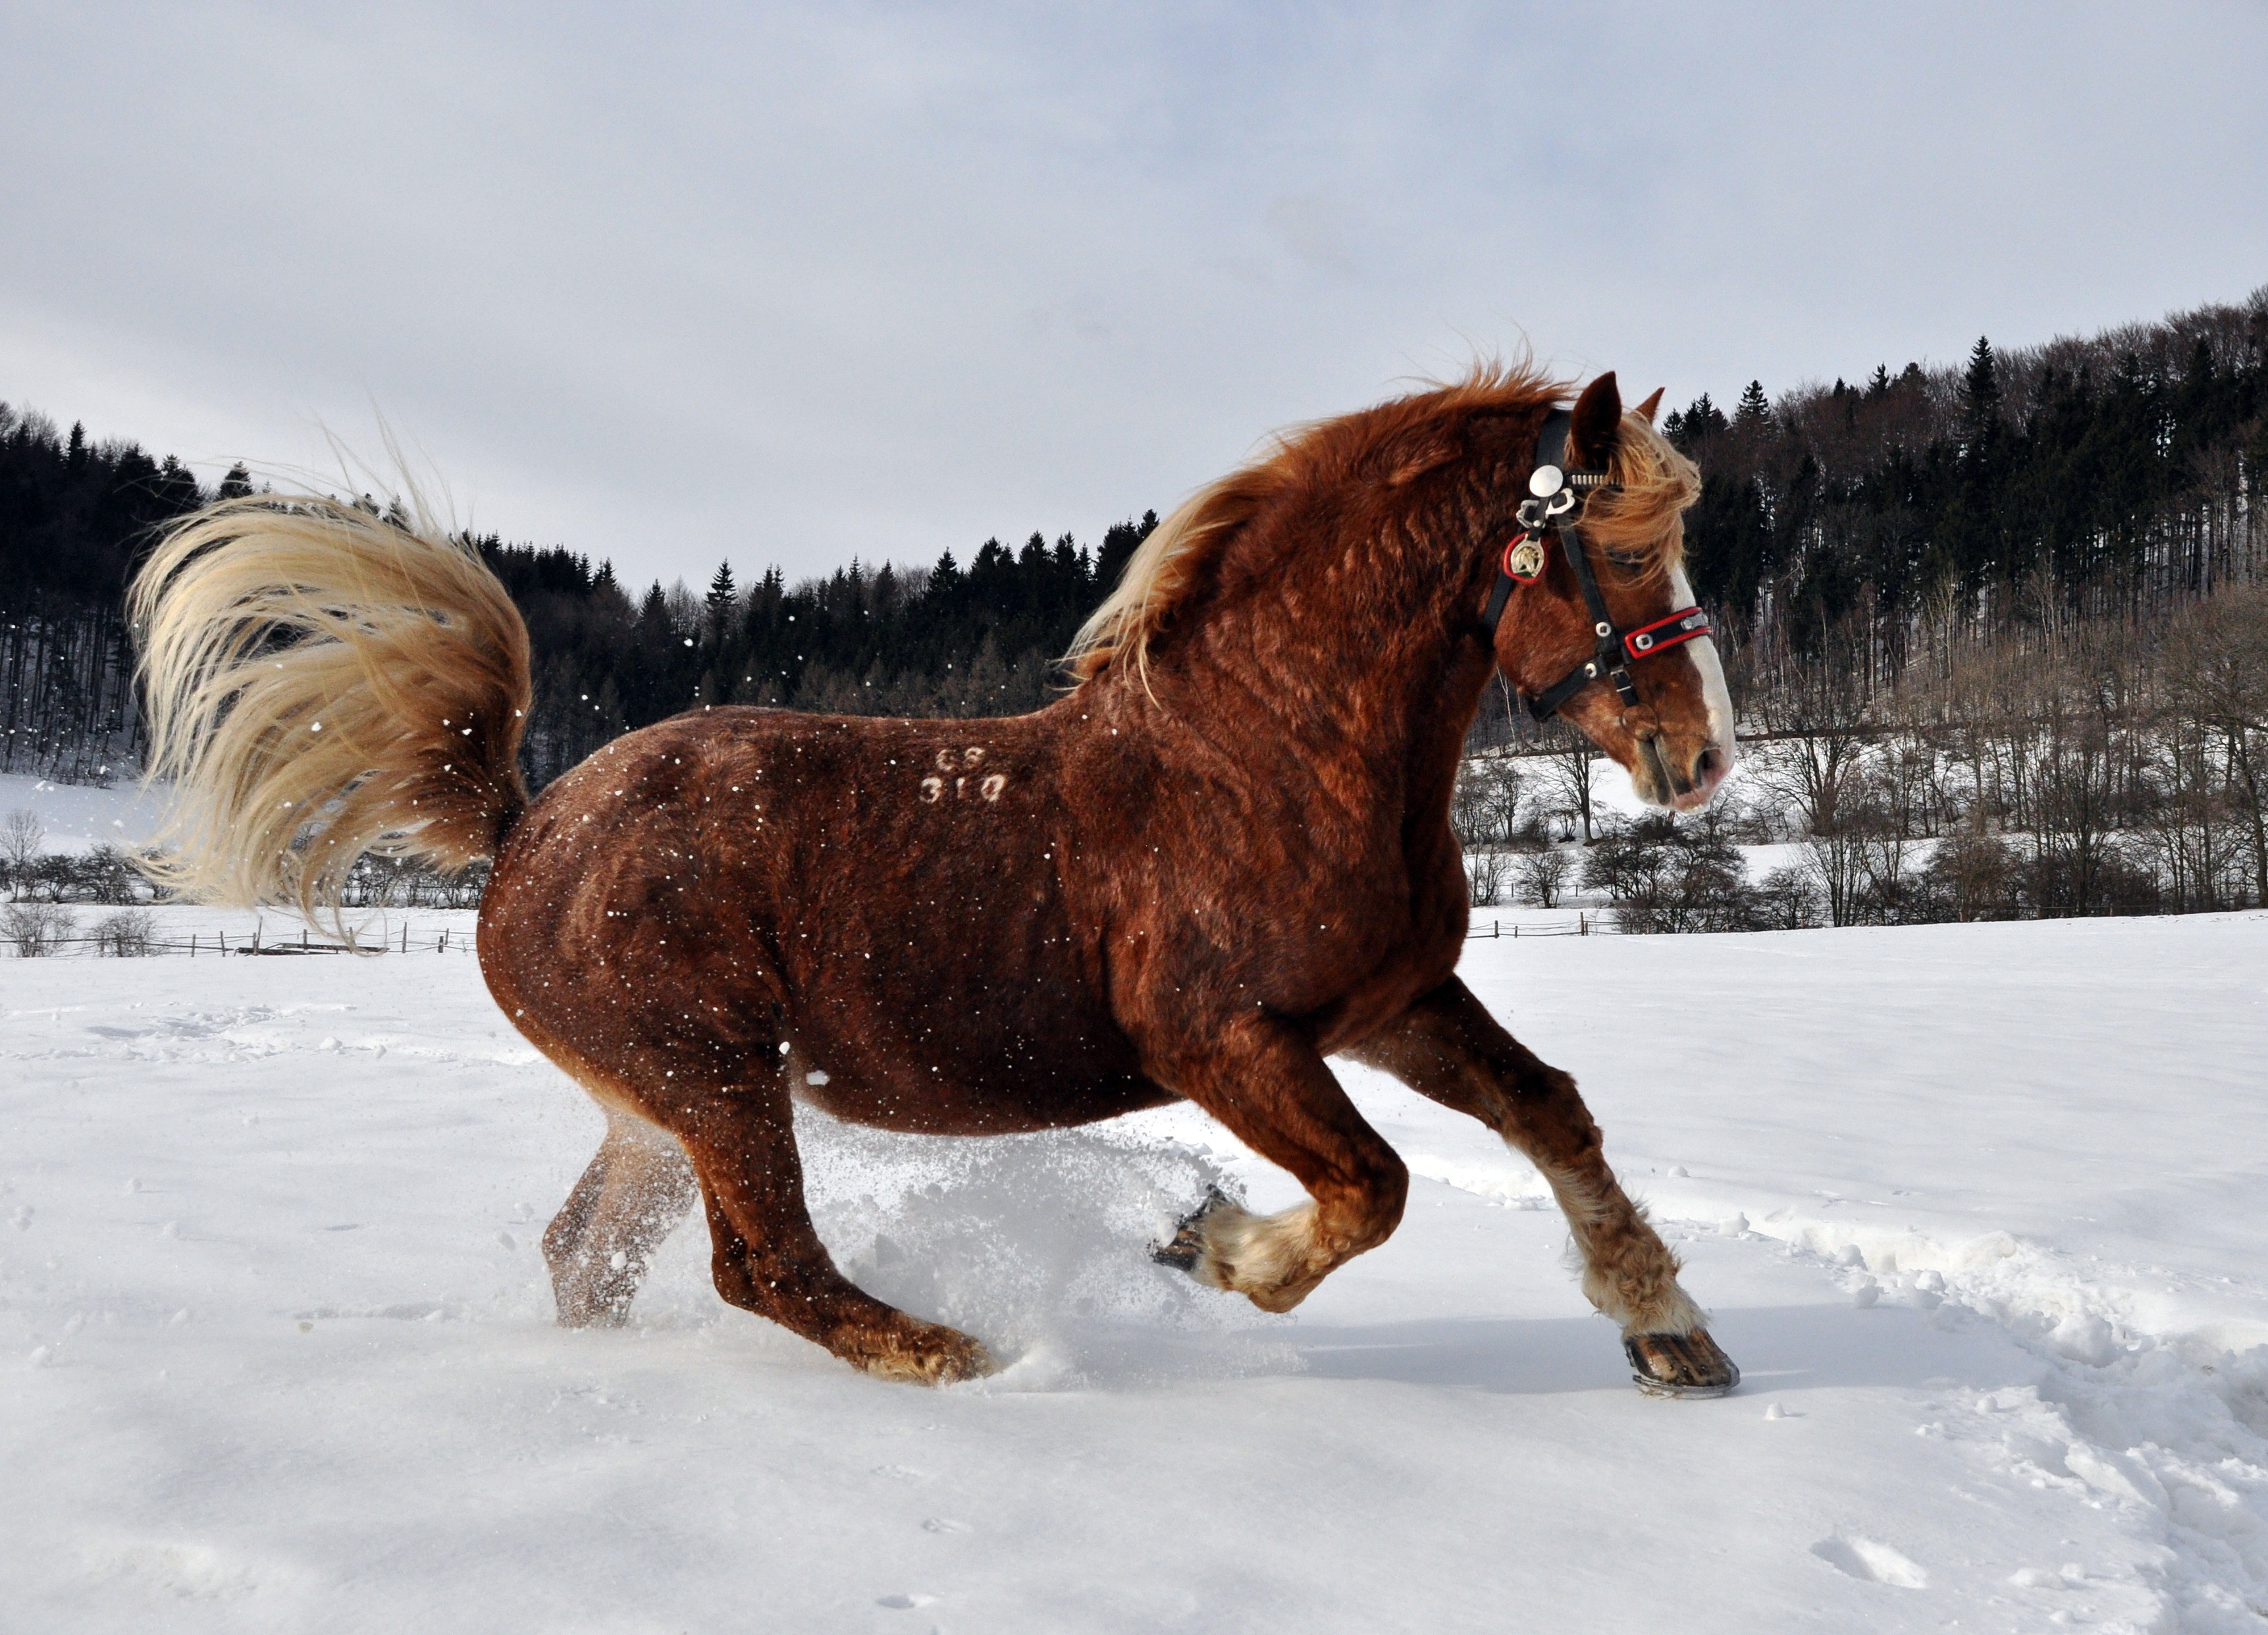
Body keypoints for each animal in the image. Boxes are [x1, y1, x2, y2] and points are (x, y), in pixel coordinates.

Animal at [128, 367, 1732, 1387]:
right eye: (1616, 549)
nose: (1702, 754)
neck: (1260, 751)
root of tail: (526, 827)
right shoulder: (1221, 1039)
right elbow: (1373, 1188)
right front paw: (1206, 1246)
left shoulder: (1389, 1003)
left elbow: (1550, 1111)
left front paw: (1671, 1332)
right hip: (719, 1076)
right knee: (767, 1266)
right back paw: (962, 1358)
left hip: (660, 1108)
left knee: (590, 1251)